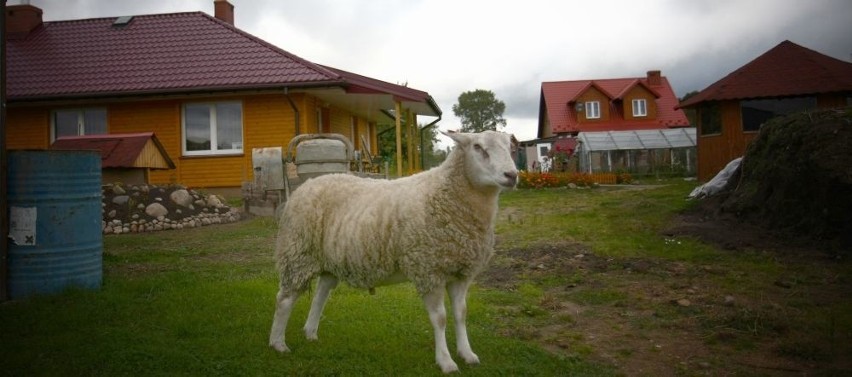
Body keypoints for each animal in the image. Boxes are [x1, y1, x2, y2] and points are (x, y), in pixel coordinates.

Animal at [270, 130, 516, 374]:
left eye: (510, 147)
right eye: (477, 147)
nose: (512, 175)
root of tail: (306, 185)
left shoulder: (461, 272)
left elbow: (461, 314)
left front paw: (467, 354)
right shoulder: (429, 270)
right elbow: (440, 319)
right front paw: (446, 361)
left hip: (328, 260)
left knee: (321, 293)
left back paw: (310, 333)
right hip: (297, 253)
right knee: (284, 299)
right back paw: (278, 343)